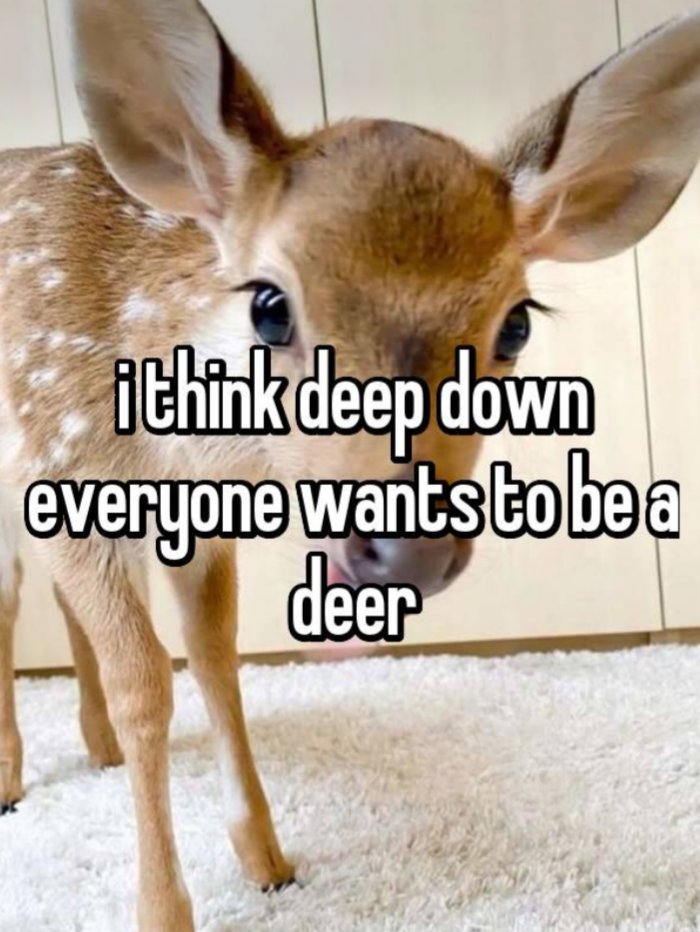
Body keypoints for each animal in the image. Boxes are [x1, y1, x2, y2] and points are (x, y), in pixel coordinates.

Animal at [0, 1, 699, 929]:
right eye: (268, 304)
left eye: (515, 325)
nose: (411, 551)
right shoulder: (63, 461)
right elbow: (145, 681)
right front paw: (162, 910)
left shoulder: (195, 526)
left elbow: (215, 659)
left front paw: (267, 861)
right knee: (12, 604)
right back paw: (13, 780)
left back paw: (96, 750)